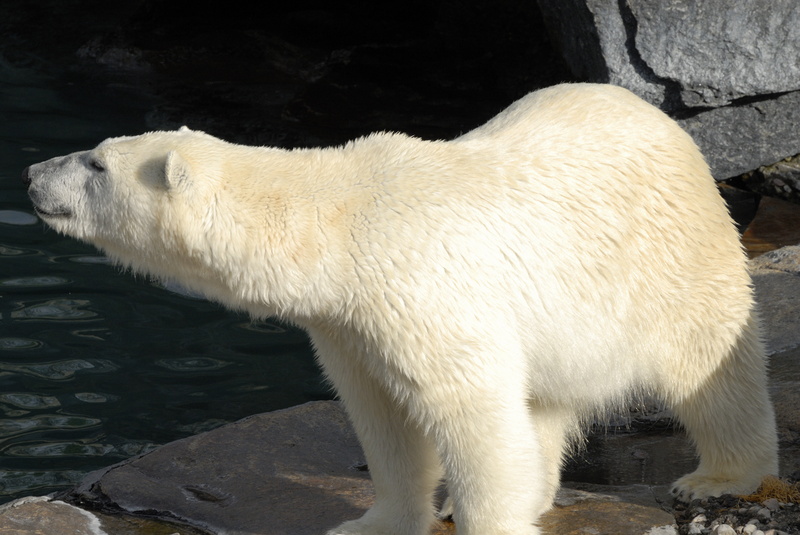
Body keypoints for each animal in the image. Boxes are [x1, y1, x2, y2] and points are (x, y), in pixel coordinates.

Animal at [23, 84, 776, 535]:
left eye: (95, 164)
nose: (31, 174)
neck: (336, 225)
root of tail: (658, 119)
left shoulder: (421, 287)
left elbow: (468, 408)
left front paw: (486, 519)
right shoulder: (349, 323)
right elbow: (381, 415)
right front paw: (372, 522)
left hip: (669, 255)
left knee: (712, 362)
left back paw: (719, 476)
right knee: (546, 398)